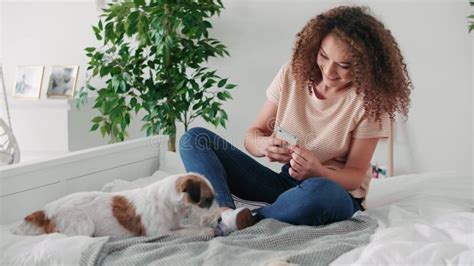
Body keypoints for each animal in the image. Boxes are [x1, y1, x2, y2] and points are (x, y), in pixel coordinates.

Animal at [12, 172, 220, 239]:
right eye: (208, 201)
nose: (219, 219)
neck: (168, 201)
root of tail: (46, 210)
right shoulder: (160, 232)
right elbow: (186, 231)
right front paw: (205, 230)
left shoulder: (174, 224)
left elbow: (185, 226)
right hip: (83, 225)